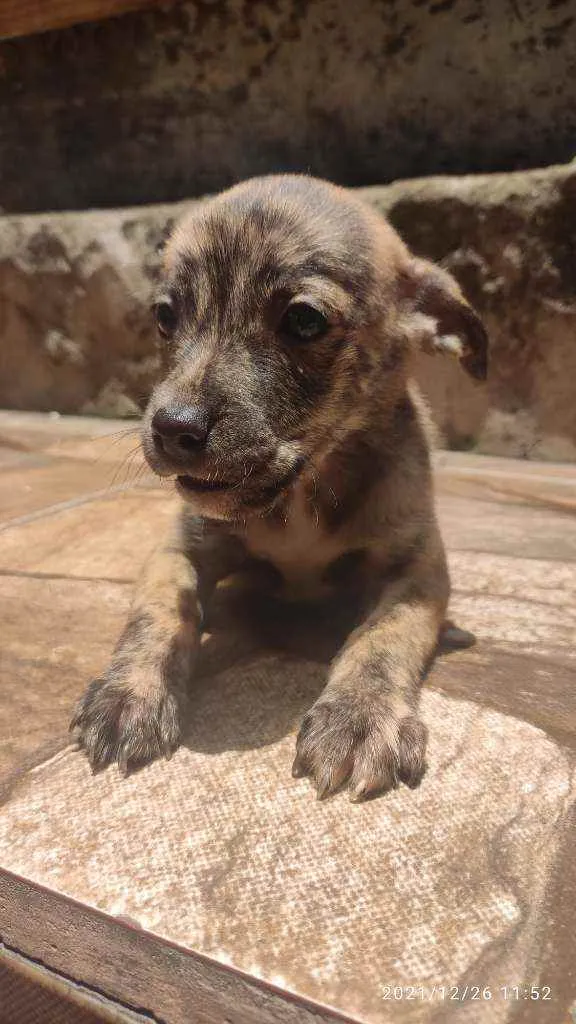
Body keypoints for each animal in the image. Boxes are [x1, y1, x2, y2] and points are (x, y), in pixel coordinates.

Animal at [70, 176, 483, 798]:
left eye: (304, 321)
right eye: (166, 317)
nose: (172, 428)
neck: (300, 497)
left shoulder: (417, 567)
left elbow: (386, 636)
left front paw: (358, 718)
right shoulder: (180, 548)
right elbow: (160, 608)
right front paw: (130, 693)